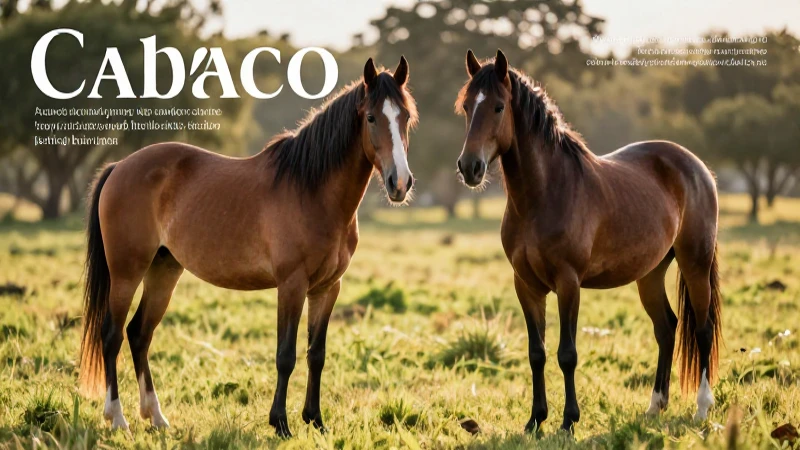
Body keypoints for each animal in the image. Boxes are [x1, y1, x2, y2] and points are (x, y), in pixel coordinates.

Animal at [79, 56, 418, 437]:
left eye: (406, 117)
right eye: (372, 117)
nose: (400, 183)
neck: (312, 190)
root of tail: (119, 166)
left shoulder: (328, 288)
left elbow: (316, 354)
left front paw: (315, 420)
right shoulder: (291, 285)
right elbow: (285, 355)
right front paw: (281, 423)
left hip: (163, 270)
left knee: (139, 334)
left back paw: (157, 417)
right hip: (126, 272)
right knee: (112, 336)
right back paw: (117, 418)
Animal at [454, 50, 722, 433]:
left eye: (498, 107)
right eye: (465, 106)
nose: (469, 167)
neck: (545, 194)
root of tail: (698, 167)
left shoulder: (569, 283)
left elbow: (567, 354)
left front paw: (568, 421)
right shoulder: (526, 285)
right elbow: (537, 353)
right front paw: (535, 420)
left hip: (695, 265)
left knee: (702, 329)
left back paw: (701, 409)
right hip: (650, 274)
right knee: (666, 328)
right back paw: (654, 407)